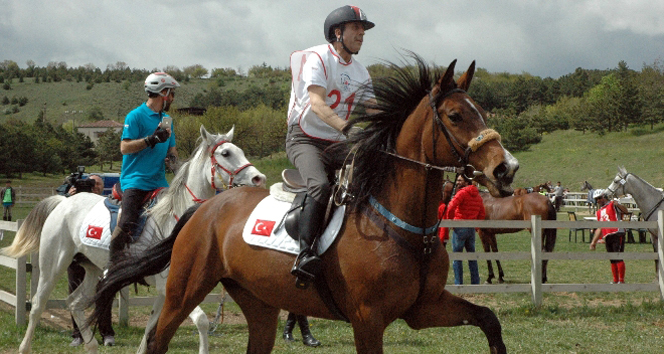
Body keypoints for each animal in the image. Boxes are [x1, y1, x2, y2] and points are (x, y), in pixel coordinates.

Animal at [3, 126, 268, 352]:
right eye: (225, 153)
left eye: (241, 151)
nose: (259, 179)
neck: (176, 220)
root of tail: (64, 202)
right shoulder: (168, 286)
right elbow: (201, 320)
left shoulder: (164, 291)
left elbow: (152, 327)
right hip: (53, 264)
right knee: (37, 305)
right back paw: (25, 347)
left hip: (92, 270)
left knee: (74, 303)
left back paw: (91, 346)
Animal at [89, 56, 520, 352]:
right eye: (455, 115)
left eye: (482, 112)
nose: (506, 169)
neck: (403, 225)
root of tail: (205, 208)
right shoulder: (368, 320)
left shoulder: (424, 308)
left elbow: (489, 320)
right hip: (184, 289)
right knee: (157, 338)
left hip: (259, 302)